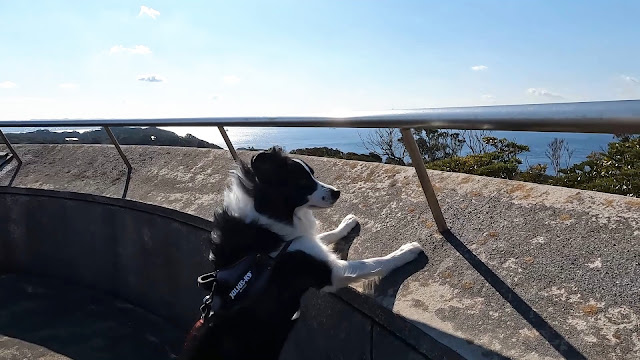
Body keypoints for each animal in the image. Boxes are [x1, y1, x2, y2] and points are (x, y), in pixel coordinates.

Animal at [180, 146, 422, 360]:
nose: (337, 192)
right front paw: (407, 251)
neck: (267, 214)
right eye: (303, 182)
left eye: (313, 174)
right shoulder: (328, 272)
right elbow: (373, 263)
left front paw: (346, 223)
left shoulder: (302, 240)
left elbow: (324, 235)